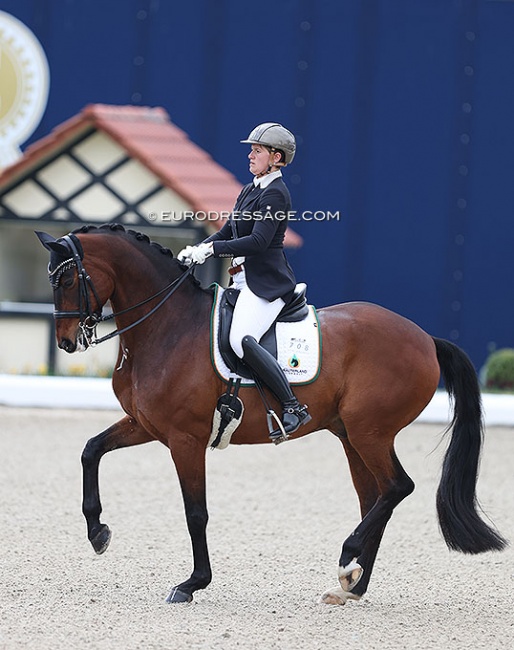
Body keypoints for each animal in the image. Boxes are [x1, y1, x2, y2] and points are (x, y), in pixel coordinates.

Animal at [36, 223, 504, 604]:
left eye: (69, 277)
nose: (65, 342)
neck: (167, 326)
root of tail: (424, 337)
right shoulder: (145, 425)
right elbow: (91, 450)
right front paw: (98, 533)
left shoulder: (185, 439)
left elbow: (195, 512)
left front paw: (192, 583)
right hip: (352, 435)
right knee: (376, 498)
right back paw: (352, 584)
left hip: (370, 432)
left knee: (397, 488)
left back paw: (348, 558)